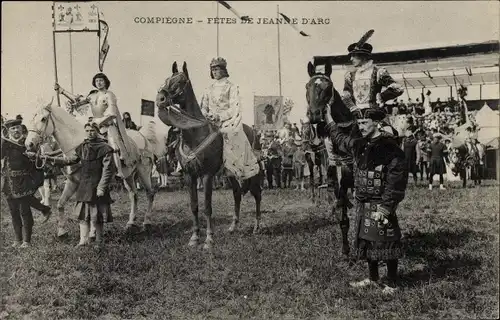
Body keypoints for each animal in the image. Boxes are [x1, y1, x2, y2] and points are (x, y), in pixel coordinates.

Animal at [25, 102, 164, 238]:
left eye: (43, 119)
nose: (28, 144)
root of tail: (144, 137)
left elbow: (90, 206)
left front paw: (91, 233)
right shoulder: (72, 182)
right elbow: (60, 204)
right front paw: (62, 231)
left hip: (144, 172)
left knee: (150, 194)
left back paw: (146, 222)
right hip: (128, 175)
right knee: (133, 195)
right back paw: (130, 223)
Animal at [156, 61, 262, 249]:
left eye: (180, 82)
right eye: (167, 79)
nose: (160, 98)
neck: (195, 135)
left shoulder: (206, 176)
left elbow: (207, 206)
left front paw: (209, 239)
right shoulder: (190, 176)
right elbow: (194, 206)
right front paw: (194, 238)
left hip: (252, 174)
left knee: (257, 195)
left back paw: (257, 227)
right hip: (231, 175)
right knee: (237, 194)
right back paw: (233, 226)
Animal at [304, 62, 360, 258]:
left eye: (328, 87)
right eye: (307, 86)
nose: (314, 115)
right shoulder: (336, 175)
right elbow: (341, 207)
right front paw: (346, 249)